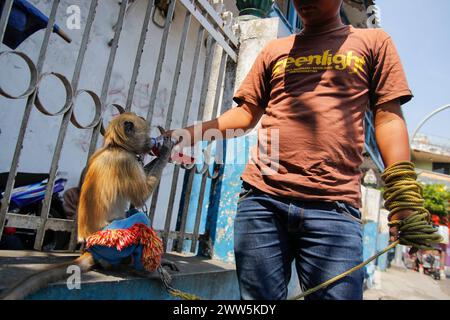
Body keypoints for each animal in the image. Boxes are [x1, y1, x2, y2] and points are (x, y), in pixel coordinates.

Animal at [0, 112, 176, 300]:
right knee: (140, 220)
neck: (115, 146)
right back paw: (146, 271)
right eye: (147, 132)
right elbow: (140, 197)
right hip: (109, 242)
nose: (152, 141)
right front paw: (166, 151)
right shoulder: (126, 160)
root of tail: (89, 249)